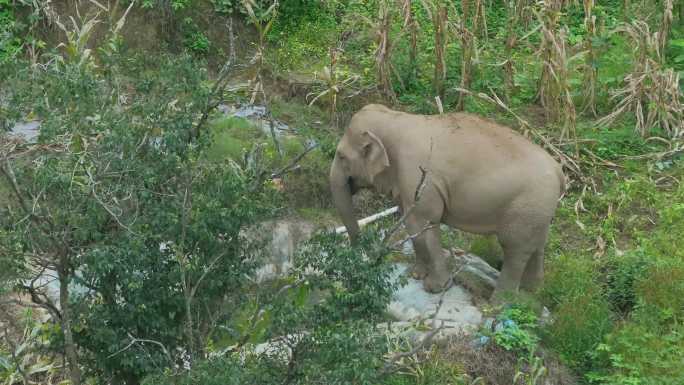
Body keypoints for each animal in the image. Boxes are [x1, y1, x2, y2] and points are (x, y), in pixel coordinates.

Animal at [328, 103, 564, 296]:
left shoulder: (419, 177)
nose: (366, 257)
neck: (396, 117)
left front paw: (435, 288)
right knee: (538, 244)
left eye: (341, 156)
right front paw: (416, 275)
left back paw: (499, 304)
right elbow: (411, 223)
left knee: (515, 249)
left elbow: (424, 223)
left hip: (526, 207)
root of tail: (559, 170)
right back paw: (530, 292)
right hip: (539, 211)